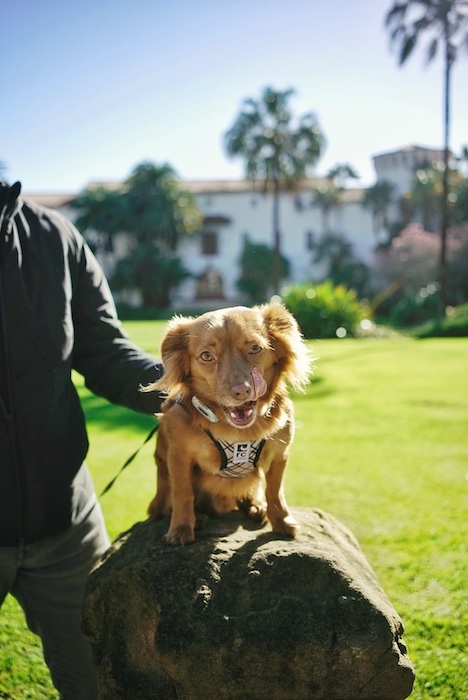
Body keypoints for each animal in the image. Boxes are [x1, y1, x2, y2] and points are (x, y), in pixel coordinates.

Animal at [142, 304, 310, 544]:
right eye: (206, 356)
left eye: (255, 348)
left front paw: (282, 522)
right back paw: (198, 517)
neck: (238, 432)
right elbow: (183, 494)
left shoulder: (280, 454)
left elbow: (275, 492)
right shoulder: (179, 458)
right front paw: (182, 528)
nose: (241, 391)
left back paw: (256, 506)